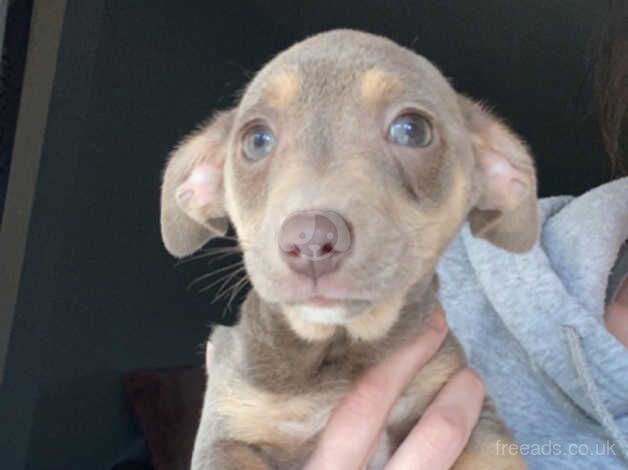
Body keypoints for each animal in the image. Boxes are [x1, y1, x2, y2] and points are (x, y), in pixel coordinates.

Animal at [158, 30, 536, 470]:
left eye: (412, 130)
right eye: (256, 140)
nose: (310, 239)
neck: (337, 351)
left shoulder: (469, 410)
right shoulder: (228, 429)